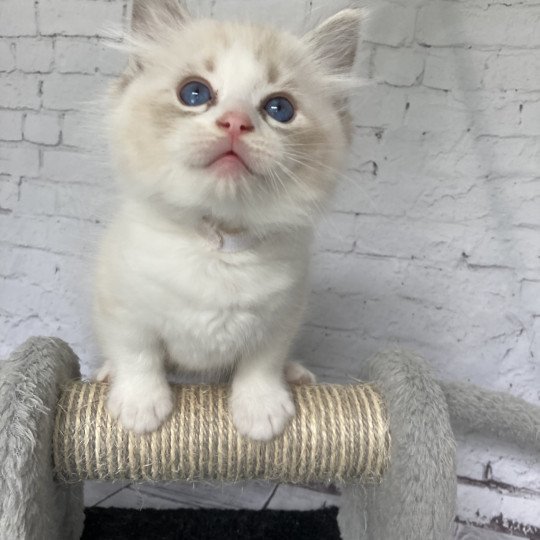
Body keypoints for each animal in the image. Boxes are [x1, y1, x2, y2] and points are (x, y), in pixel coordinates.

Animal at [94, 0, 358, 440]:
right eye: (194, 93)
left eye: (279, 109)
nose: (236, 121)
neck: (220, 241)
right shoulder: (124, 307)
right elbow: (138, 355)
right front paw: (140, 408)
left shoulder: (281, 319)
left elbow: (261, 365)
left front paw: (261, 412)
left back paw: (297, 375)